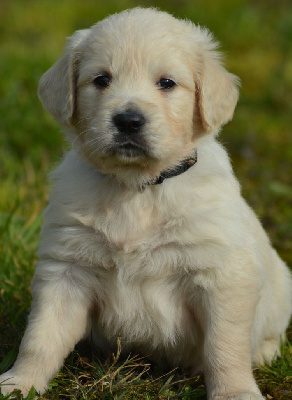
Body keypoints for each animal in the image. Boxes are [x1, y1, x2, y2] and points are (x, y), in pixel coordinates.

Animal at [1, 7, 290, 400]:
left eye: (166, 83)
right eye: (101, 80)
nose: (128, 120)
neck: (137, 187)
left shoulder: (221, 274)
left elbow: (225, 345)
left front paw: (235, 392)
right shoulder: (66, 268)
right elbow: (41, 336)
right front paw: (21, 382)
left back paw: (263, 353)